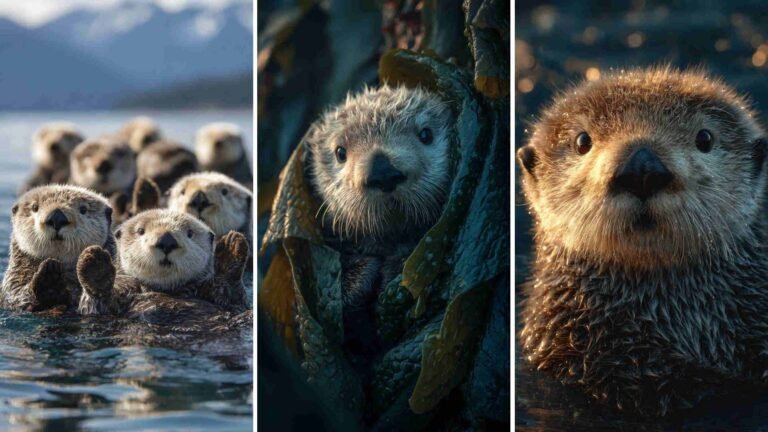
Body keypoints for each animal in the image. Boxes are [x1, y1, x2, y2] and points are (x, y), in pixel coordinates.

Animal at [77, 209, 249, 317]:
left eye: (190, 233)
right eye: (141, 231)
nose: (167, 241)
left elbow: (231, 294)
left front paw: (231, 248)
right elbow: (96, 305)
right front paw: (96, 263)